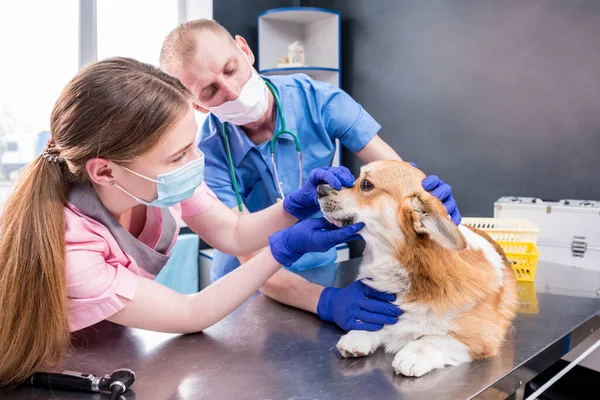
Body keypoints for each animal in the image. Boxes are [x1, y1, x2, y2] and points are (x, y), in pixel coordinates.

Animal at [316, 160, 516, 378]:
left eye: (366, 184)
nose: (319, 188)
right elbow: (377, 320)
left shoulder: (480, 337)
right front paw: (361, 333)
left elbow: (433, 339)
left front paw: (414, 354)